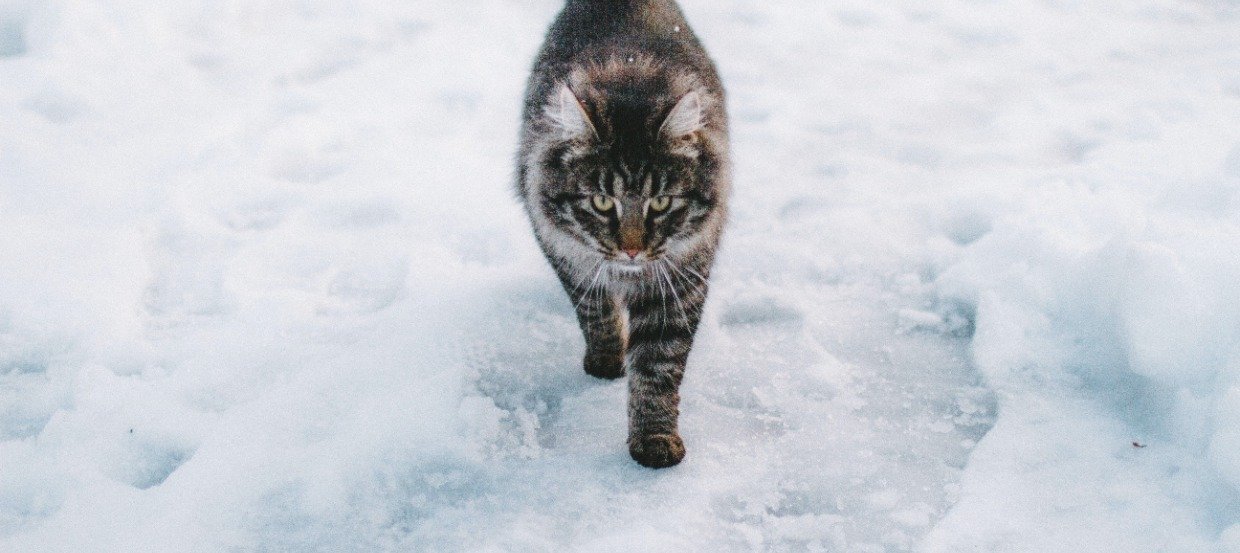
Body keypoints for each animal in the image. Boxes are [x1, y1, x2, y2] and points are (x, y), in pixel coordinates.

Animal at [513, 0, 724, 468]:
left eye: (660, 203)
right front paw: (608, 358)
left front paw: (655, 440)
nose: (631, 250)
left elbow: (657, 368)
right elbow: (595, 310)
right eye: (601, 202)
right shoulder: (564, 249)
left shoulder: (681, 276)